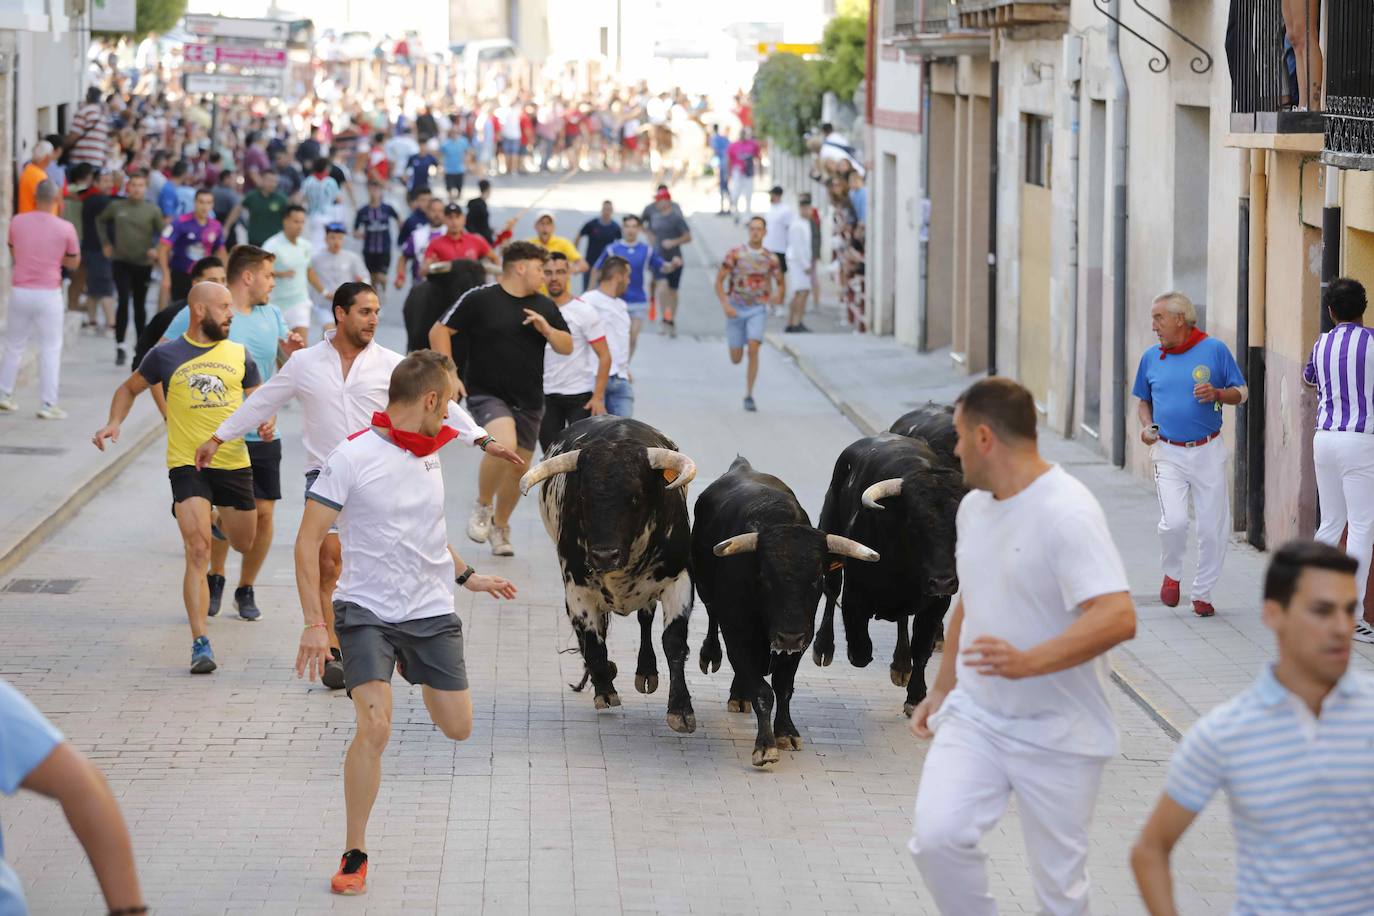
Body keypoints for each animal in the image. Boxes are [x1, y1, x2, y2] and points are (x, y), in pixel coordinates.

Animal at [519, 420, 703, 736]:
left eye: (635, 497)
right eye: (583, 497)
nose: (605, 555)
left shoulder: (678, 580)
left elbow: (674, 642)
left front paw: (681, 709)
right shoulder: (576, 590)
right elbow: (594, 642)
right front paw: (604, 687)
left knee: (645, 618)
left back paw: (646, 671)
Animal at [818, 409, 961, 714]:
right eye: (915, 525)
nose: (943, 581)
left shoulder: (937, 603)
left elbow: (922, 648)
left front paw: (916, 695)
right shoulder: (855, 596)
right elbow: (860, 650)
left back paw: (901, 664)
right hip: (830, 535)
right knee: (831, 590)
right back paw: (823, 648)